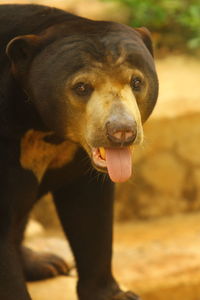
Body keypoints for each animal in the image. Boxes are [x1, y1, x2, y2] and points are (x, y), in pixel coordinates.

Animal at [0, 4, 159, 300]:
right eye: (81, 87)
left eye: (136, 81)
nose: (122, 131)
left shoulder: (76, 157)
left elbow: (90, 214)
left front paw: (116, 294)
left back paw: (48, 263)